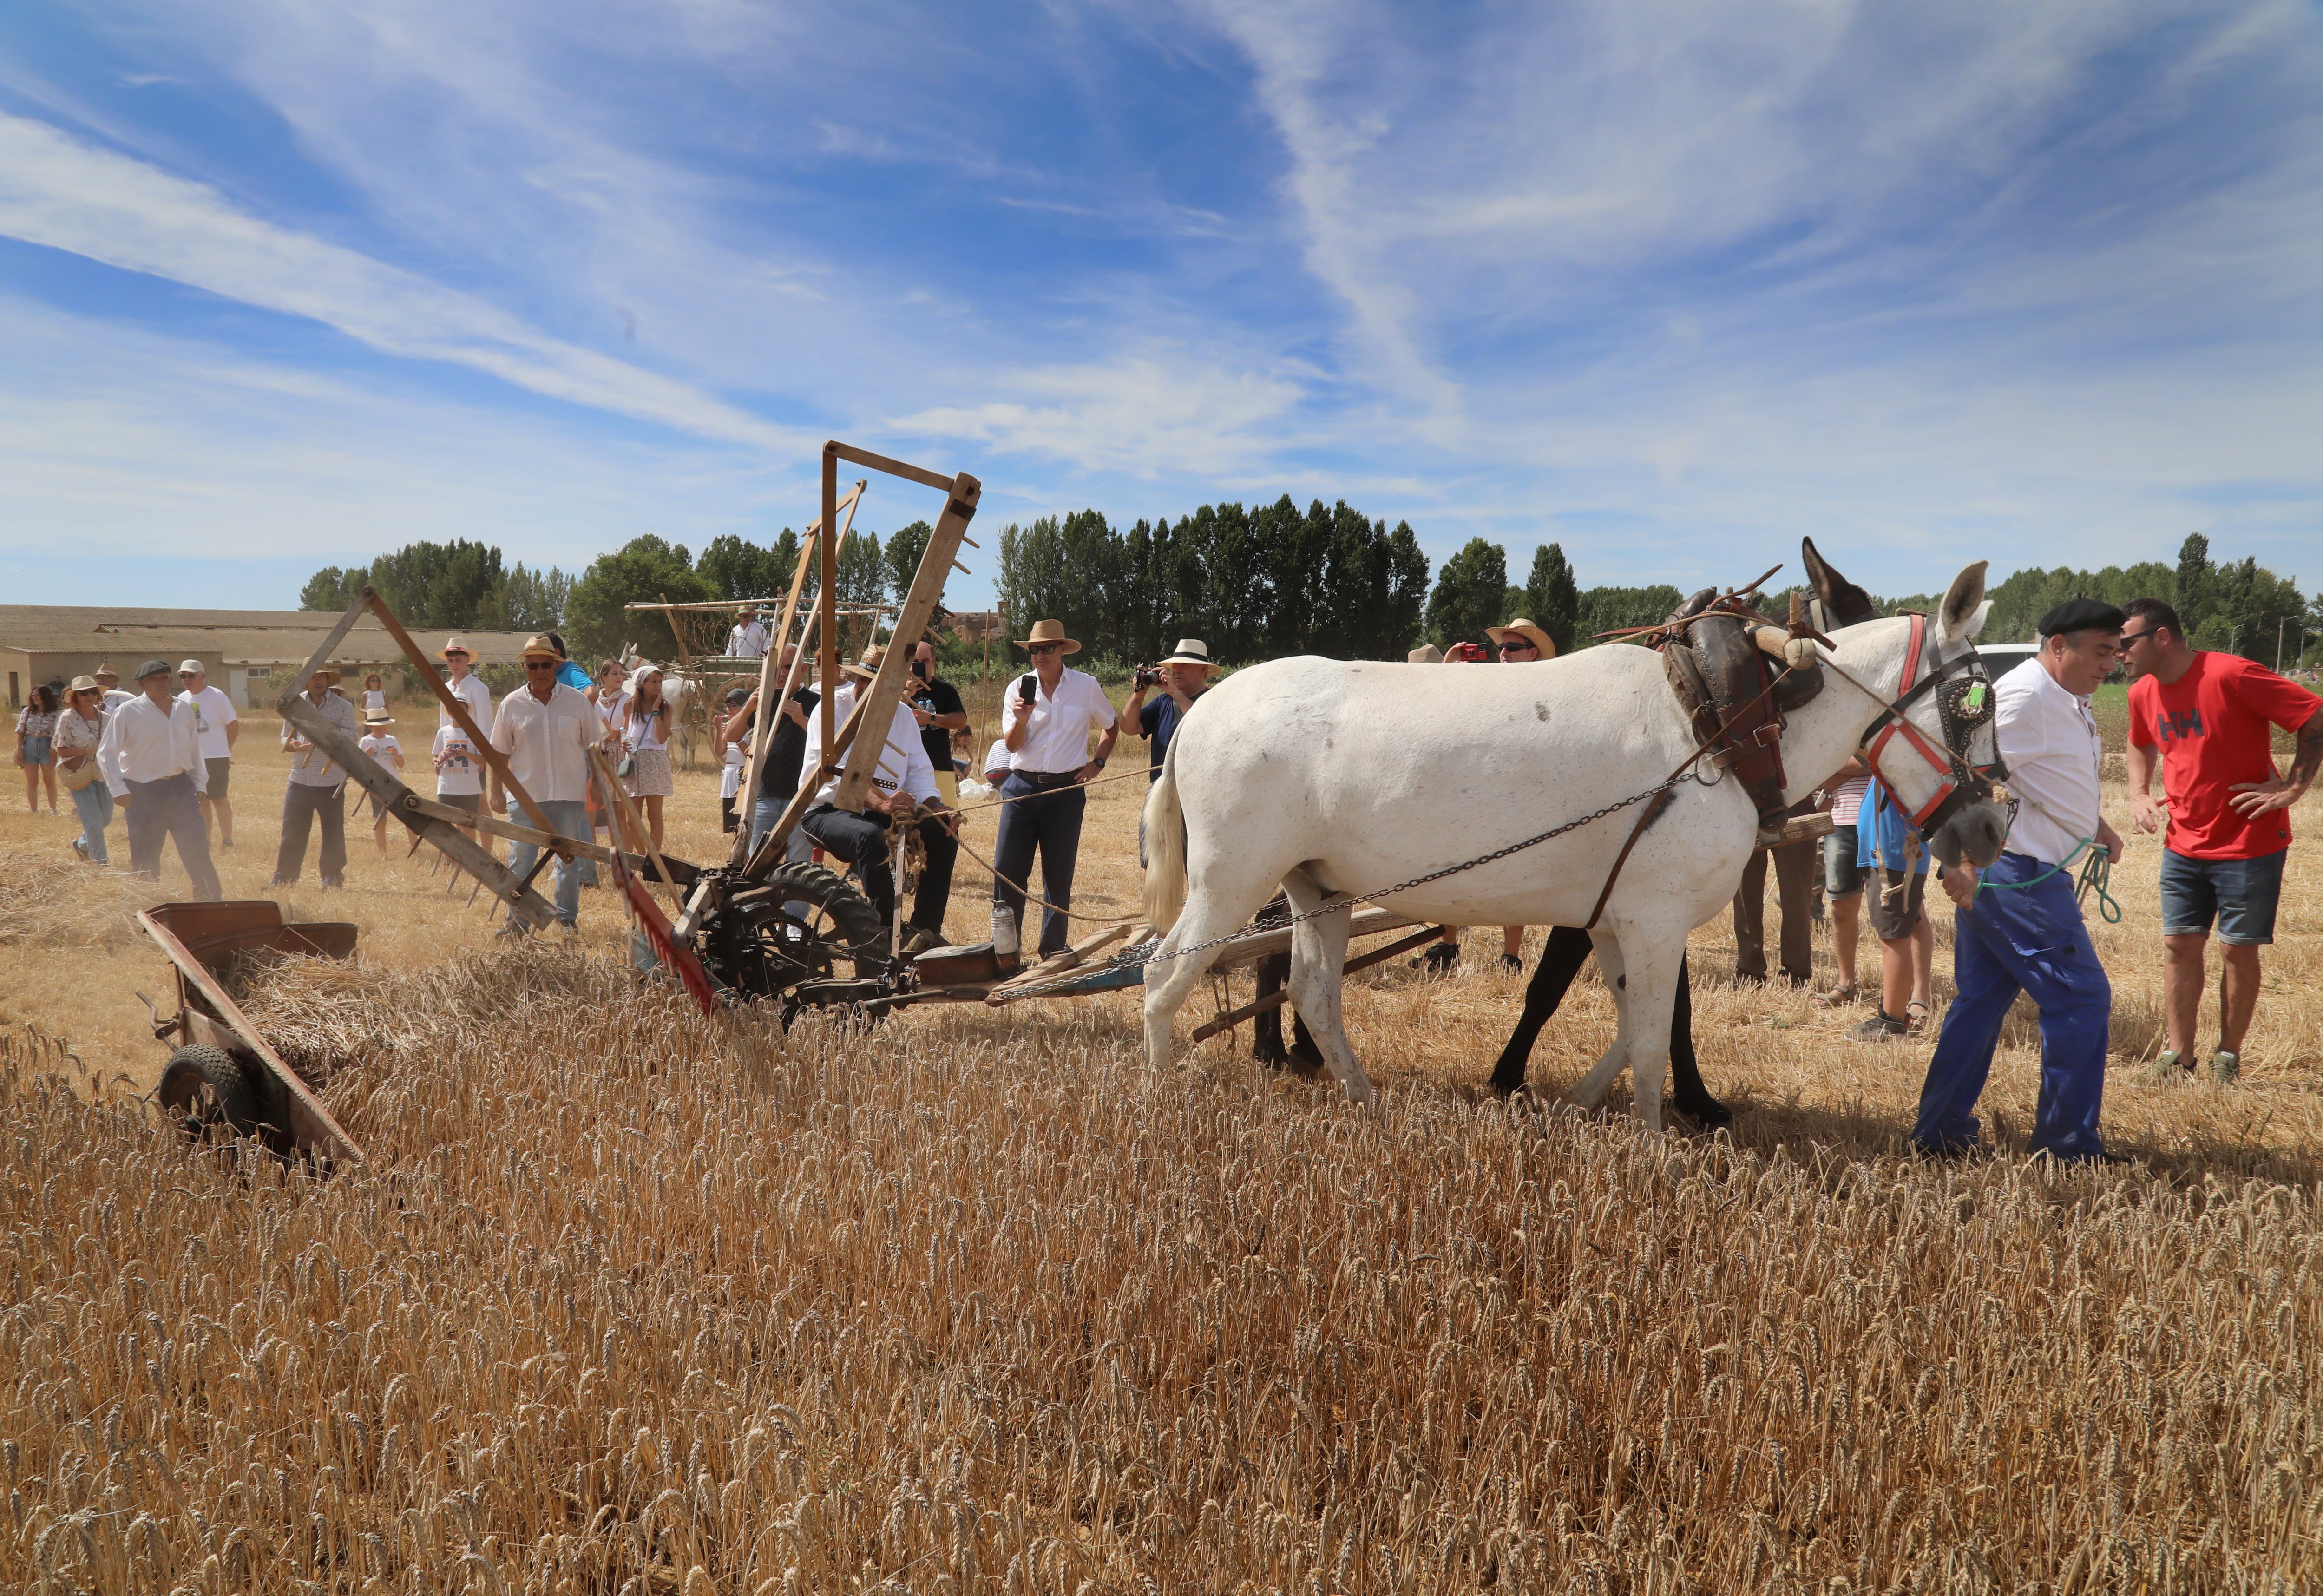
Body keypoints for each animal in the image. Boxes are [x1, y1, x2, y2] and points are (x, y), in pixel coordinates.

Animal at [1134, 562, 2007, 1124]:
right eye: (1977, 700)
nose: (1993, 827)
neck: (1728, 723)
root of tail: (1204, 711)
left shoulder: (1617, 917)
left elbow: (1631, 1025)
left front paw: (1572, 1108)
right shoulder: (1654, 918)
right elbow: (1652, 1038)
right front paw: (1654, 1140)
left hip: (1319, 886)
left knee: (1313, 992)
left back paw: (1365, 1100)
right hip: (1234, 878)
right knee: (1164, 972)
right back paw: (1163, 1094)